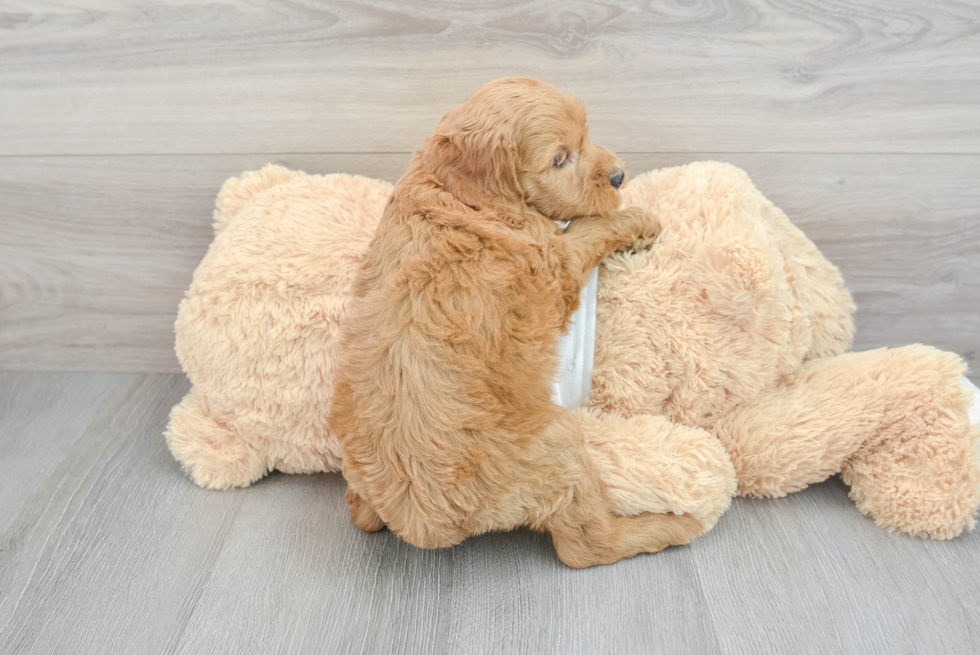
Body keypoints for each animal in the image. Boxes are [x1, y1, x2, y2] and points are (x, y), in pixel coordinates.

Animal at [332, 78, 704, 568]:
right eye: (560, 158)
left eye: (587, 135)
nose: (619, 175)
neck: (461, 194)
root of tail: (422, 523)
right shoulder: (554, 259)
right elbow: (591, 226)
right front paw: (637, 220)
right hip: (559, 445)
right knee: (586, 546)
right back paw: (670, 525)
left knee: (361, 514)